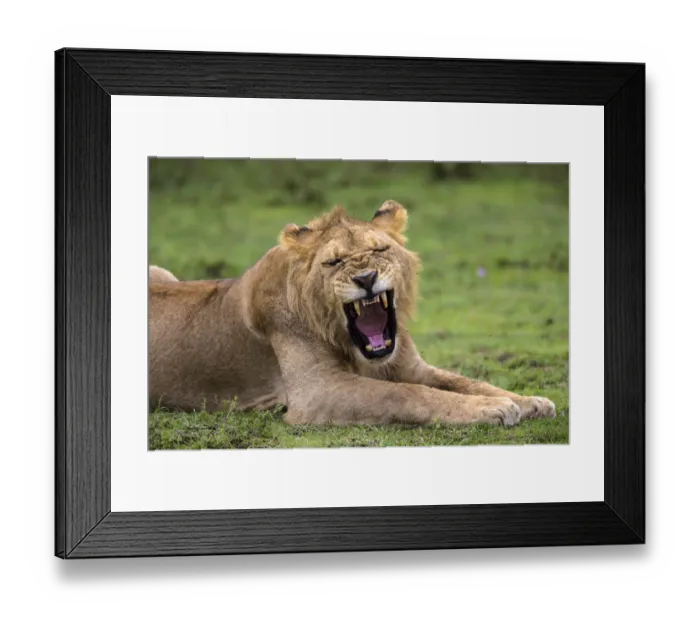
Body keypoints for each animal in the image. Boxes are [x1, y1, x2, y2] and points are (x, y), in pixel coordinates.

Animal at [149, 201, 556, 426]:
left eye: (380, 250)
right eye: (334, 262)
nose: (366, 278)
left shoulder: (413, 367)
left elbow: (464, 382)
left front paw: (527, 401)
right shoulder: (317, 392)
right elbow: (406, 395)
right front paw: (494, 408)